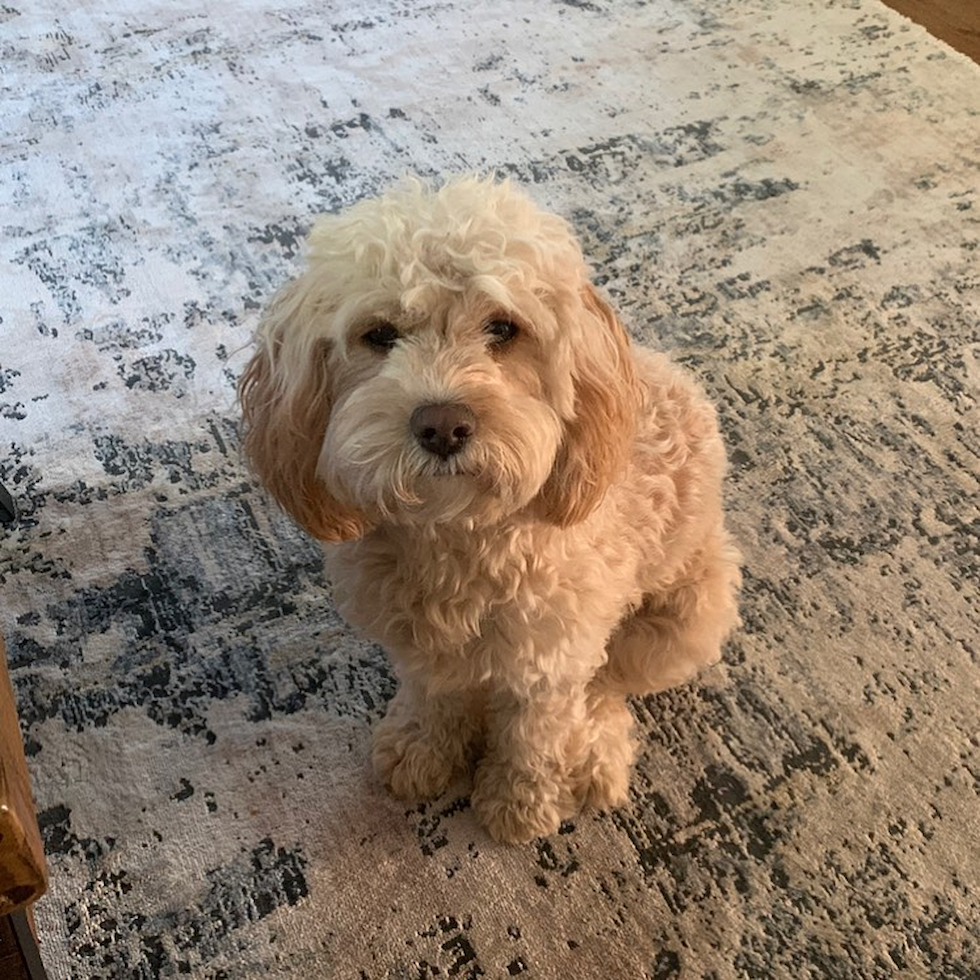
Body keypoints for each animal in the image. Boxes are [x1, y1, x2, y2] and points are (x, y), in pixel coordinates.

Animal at [241, 176, 740, 844]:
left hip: (684, 616)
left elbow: (536, 733)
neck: (459, 536)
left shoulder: (552, 657)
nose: (443, 425)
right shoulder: (419, 646)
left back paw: (593, 754)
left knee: (607, 685)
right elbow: (434, 697)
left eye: (503, 328)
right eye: (379, 334)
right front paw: (424, 749)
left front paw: (520, 801)